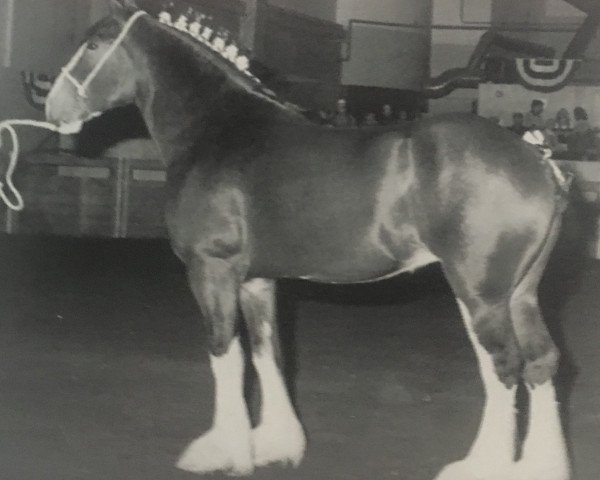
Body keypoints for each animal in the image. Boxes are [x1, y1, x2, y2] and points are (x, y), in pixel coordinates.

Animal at [44, 1, 568, 478]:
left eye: (93, 45)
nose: (53, 107)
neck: (218, 129)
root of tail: (540, 161)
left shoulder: (211, 269)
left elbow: (225, 356)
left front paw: (223, 452)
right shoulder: (257, 281)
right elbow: (267, 355)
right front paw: (275, 444)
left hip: (480, 294)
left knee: (504, 368)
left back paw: (482, 465)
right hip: (520, 294)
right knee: (541, 363)